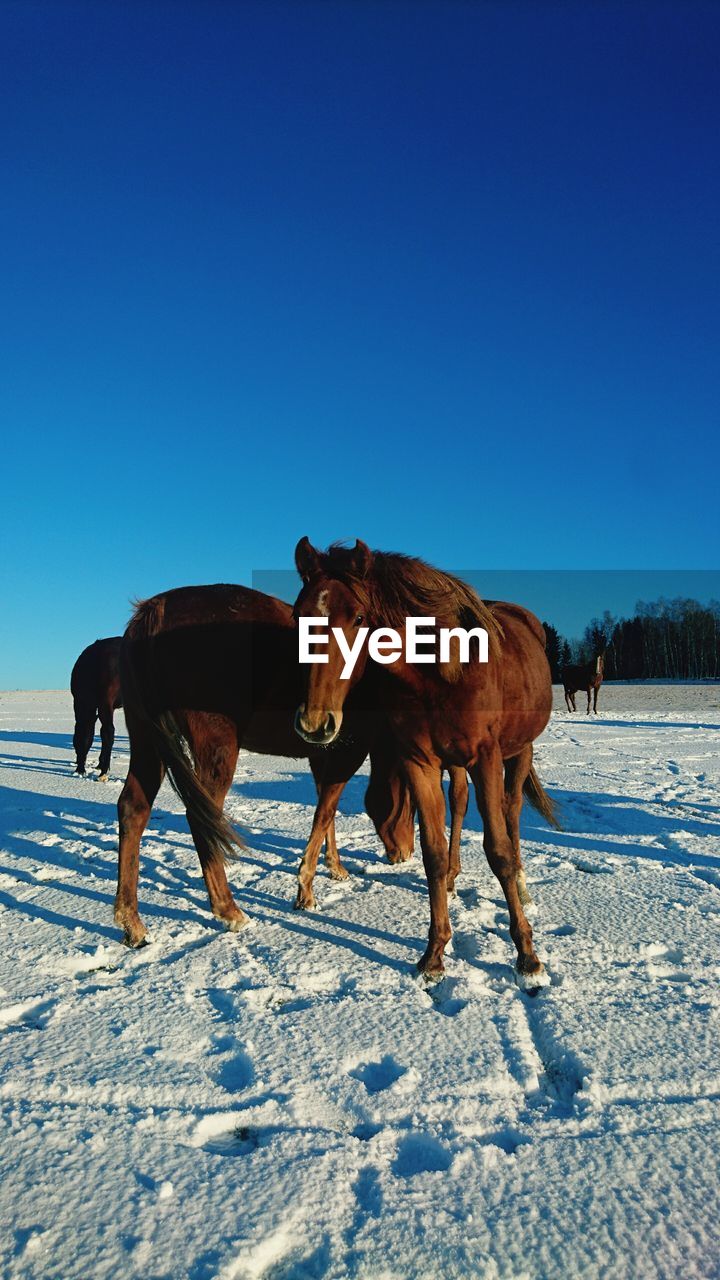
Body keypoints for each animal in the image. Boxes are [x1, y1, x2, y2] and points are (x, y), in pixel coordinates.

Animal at [70, 634, 121, 773]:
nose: (76, 760)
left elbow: (86, 736)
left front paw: (81, 768)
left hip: (105, 702)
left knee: (108, 731)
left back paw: (104, 771)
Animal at [111, 586, 461, 947]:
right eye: (409, 804)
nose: (403, 853)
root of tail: (157, 609)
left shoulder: (321, 753)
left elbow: (326, 811)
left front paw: (334, 867)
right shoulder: (347, 753)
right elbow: (325, 811)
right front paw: (306, 889)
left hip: (147, 738)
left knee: (133, 809)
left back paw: (131, 921)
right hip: (216, 746)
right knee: (200, 818)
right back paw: (228, 908)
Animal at [288, 540, 558, 988]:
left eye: (358, 618)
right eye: (298, 615)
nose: (314, 722)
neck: (444, 671)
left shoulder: (486, 758)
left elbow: (499, 850)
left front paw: (527, 956)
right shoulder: (421, 761)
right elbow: (432, 852)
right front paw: (433, 954)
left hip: (519, 751)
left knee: (512, 814)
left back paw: (522, 888)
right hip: (458, 763)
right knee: (460, 804)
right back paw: (452, 878)